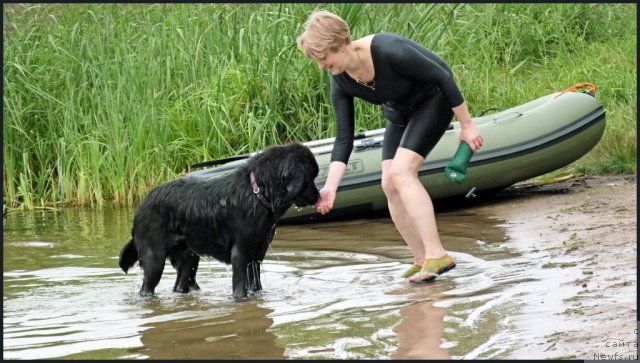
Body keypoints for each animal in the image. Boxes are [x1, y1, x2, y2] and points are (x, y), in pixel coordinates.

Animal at [119, 144, 318, 300]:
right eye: (310, 178)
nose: (318, 196)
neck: (256, 194)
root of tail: (141, 205)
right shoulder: (240, 253)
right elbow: (240, 290)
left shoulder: (256, 255)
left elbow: (256, 286)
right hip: (154, 259)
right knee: (146, 289)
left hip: (189, 258)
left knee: (180, 284)